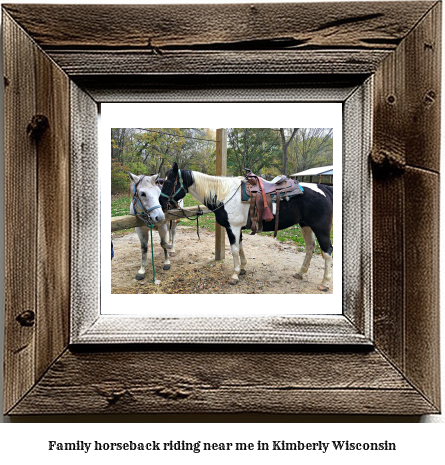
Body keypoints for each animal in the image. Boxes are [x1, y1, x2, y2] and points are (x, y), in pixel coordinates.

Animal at [160, 163, 332, 290]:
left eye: (168, 182)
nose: (161, 203)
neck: (224, 194)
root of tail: (324, 188)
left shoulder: (233, 228)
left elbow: (235, 249)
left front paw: (235, 275)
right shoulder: (238, 229)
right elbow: (241, 247)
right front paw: (242, 268)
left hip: (320, 228)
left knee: (327, 251)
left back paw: (324, 283)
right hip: (305, 225)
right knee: (310, 247)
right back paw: (300, 273)